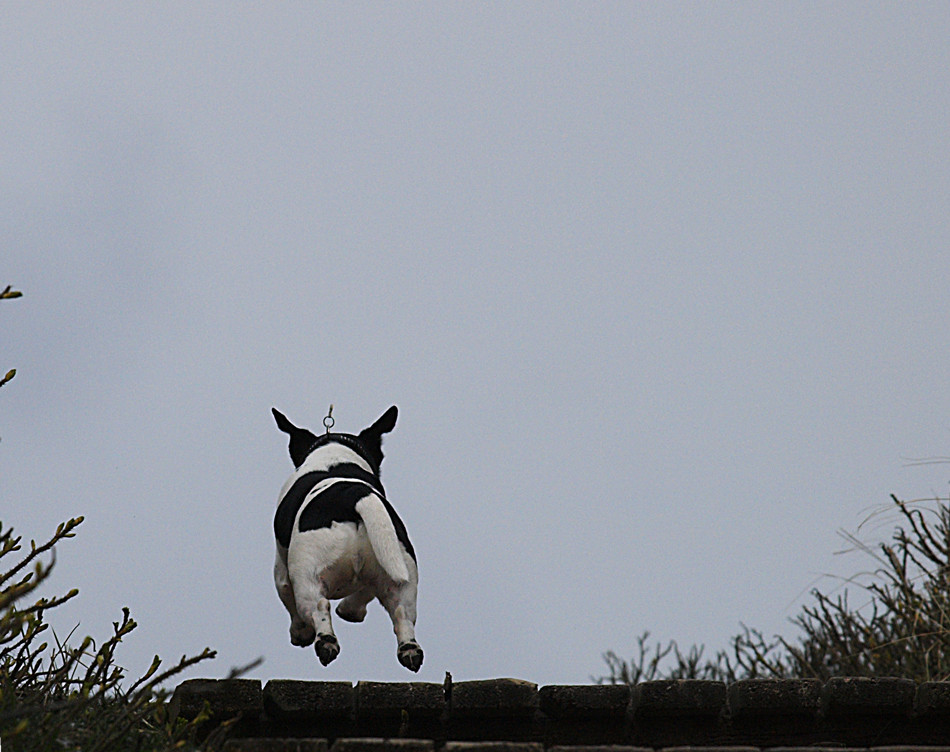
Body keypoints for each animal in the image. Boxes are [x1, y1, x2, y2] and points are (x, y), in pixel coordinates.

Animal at [270, 406, 422, 668]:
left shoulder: (282, 569)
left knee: (318, 607)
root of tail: (355, 494)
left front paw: (300, 633)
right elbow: (364, 594)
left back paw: (326, 643)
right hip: (400, 569)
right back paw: (409, 650)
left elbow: (287, 596)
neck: (335, 456)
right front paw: (351, 610)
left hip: (307, 574)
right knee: (402, 614)